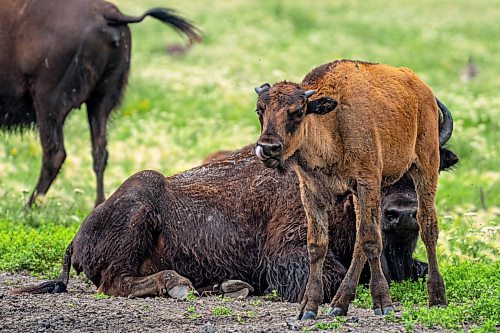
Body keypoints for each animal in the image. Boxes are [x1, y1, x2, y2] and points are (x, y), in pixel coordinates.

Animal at [1, 0, 201, 206]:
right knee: (99, 152)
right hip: (101, 100)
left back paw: (28, 207)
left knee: (55, 153)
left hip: (48, 104)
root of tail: (108, 13)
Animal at [12, 141, 458, 302]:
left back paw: (227, 286)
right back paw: (178, 285)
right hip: (140, 203)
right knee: (115, 282)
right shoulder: (289, 254)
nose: (401, 213)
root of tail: (77, 236)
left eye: (429, 164)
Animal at [254, 58, 454, 318]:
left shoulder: (367, 182)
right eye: (259, 110)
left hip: (425, 166)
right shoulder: (312, 192)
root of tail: (422, 89)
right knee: (360, 239)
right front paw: (308, 307)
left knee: (428, 226)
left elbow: (371, 240)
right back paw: (339, 304)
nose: (268, 148)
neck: (332, 124)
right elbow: (317, 245)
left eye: (298, 112)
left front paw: (383, 304)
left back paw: (437, 298)